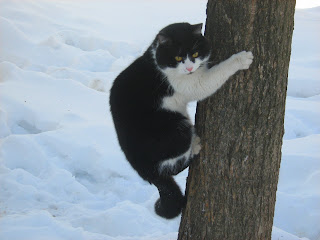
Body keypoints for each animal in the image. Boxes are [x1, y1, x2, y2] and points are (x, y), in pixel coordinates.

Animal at [109, 22, 254, 219]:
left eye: (195, 54)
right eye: (178, 57)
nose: (190, 68)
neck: (157, 62)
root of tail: (144, 171)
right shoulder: (191, 84)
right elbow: (214, 76)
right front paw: (241, 59)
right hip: (178, 128)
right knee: (171, 166)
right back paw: (195, 146)